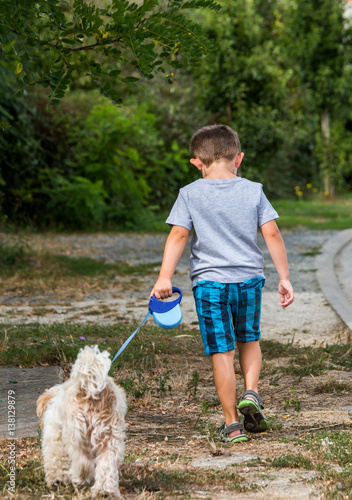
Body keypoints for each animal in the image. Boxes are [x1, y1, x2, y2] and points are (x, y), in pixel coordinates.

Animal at [36, 346, 127, 498]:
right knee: (107, 464)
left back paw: (80, 477)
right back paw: (104, 491)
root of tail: (91, 389)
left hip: (77, 434)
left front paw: (57, 479)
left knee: (83, 460)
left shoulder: (55, 437)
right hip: (110, 437)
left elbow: (56, 460)